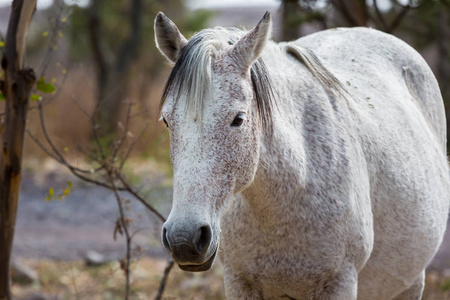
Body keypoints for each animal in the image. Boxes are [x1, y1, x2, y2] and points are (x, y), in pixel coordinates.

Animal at [153, 10, 448, 298]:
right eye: (167, 121)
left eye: (238, 119)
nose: (184, 239)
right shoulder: (238, 282)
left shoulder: (340, 283)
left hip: (411, 283)